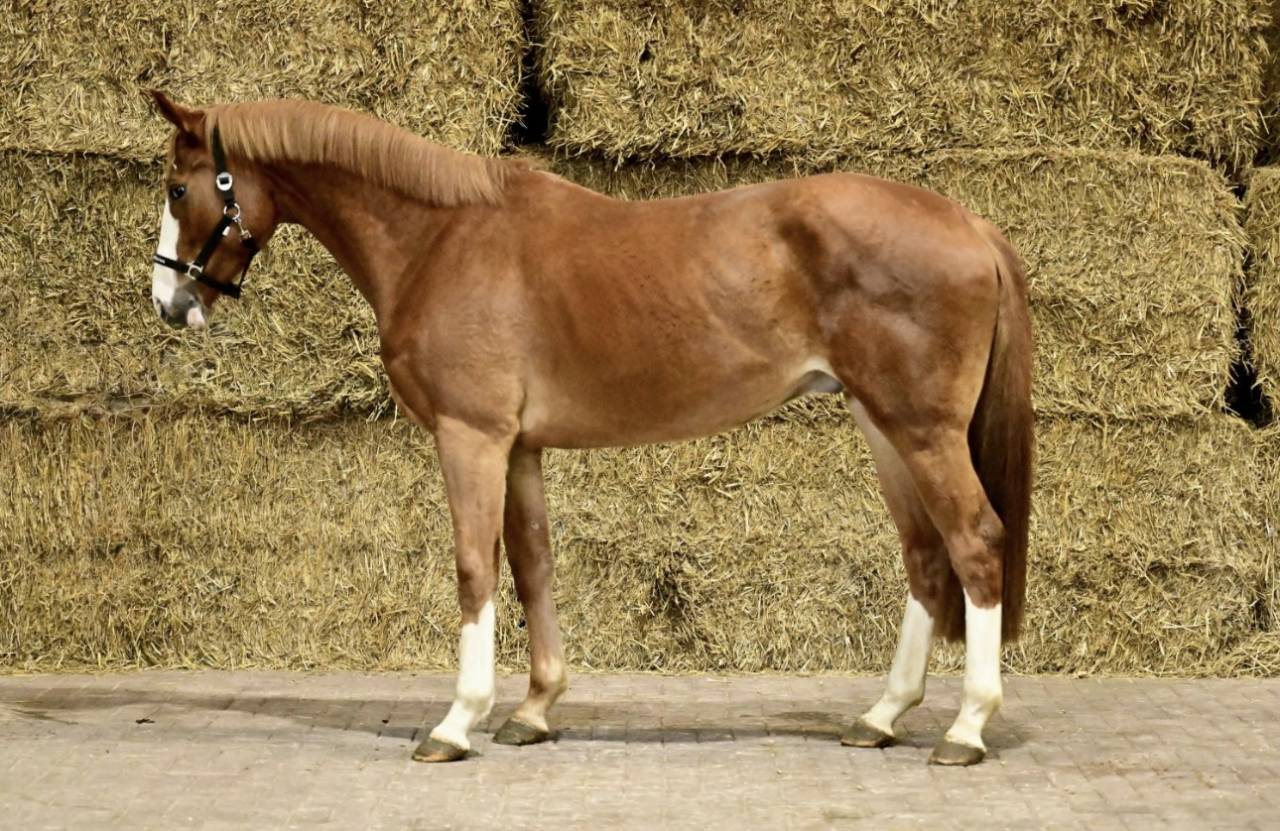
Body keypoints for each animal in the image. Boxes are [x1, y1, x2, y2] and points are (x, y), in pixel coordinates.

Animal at [147, 91, 1033, 767]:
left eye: (178, 189)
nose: (169, 302)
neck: (440, 239)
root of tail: (967, 222)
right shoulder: (520, 448)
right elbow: (533, 565)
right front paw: (533, 710)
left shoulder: (470, 436)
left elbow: (475, 567)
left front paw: (457, 720)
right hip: (881, 423)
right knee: (925, 555)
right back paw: (882, 715)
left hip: (920, 429)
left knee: (974, 541)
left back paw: (965, 727)